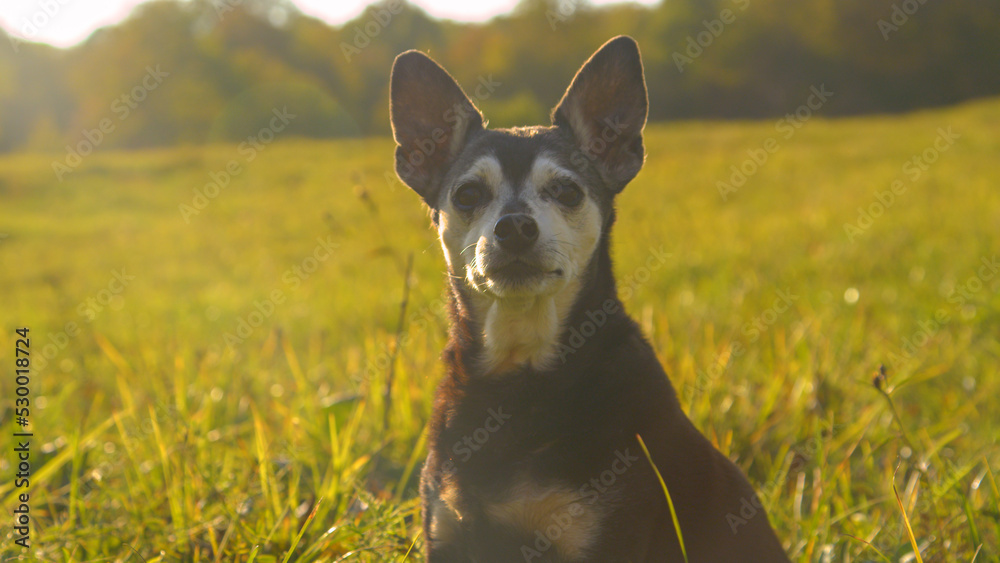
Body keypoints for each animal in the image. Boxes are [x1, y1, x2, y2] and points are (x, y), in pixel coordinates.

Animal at [388, 36, 788, 563]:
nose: (515, 227)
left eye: (566, 191)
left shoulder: (602, 535)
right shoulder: (449, 533)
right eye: (468, 194)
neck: (520, 377)